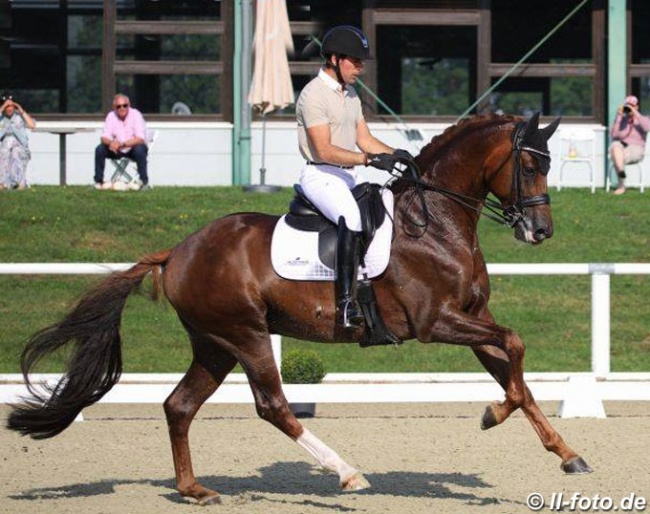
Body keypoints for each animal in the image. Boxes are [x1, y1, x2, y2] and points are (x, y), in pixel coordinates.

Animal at [7, 111, 588, 500]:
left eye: (548, 163)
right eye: (529, 164)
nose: (540, 231)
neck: (437, 222)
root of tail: (179, 250)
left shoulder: (473, 319)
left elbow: (516, 374)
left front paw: (565, 453)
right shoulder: (436, 322)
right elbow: (516, 346)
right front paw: (493, 414)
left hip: (214, 344)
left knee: (179, 405)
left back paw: (194, 489)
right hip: (245, 335)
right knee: (273, 406)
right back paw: (348, 473)